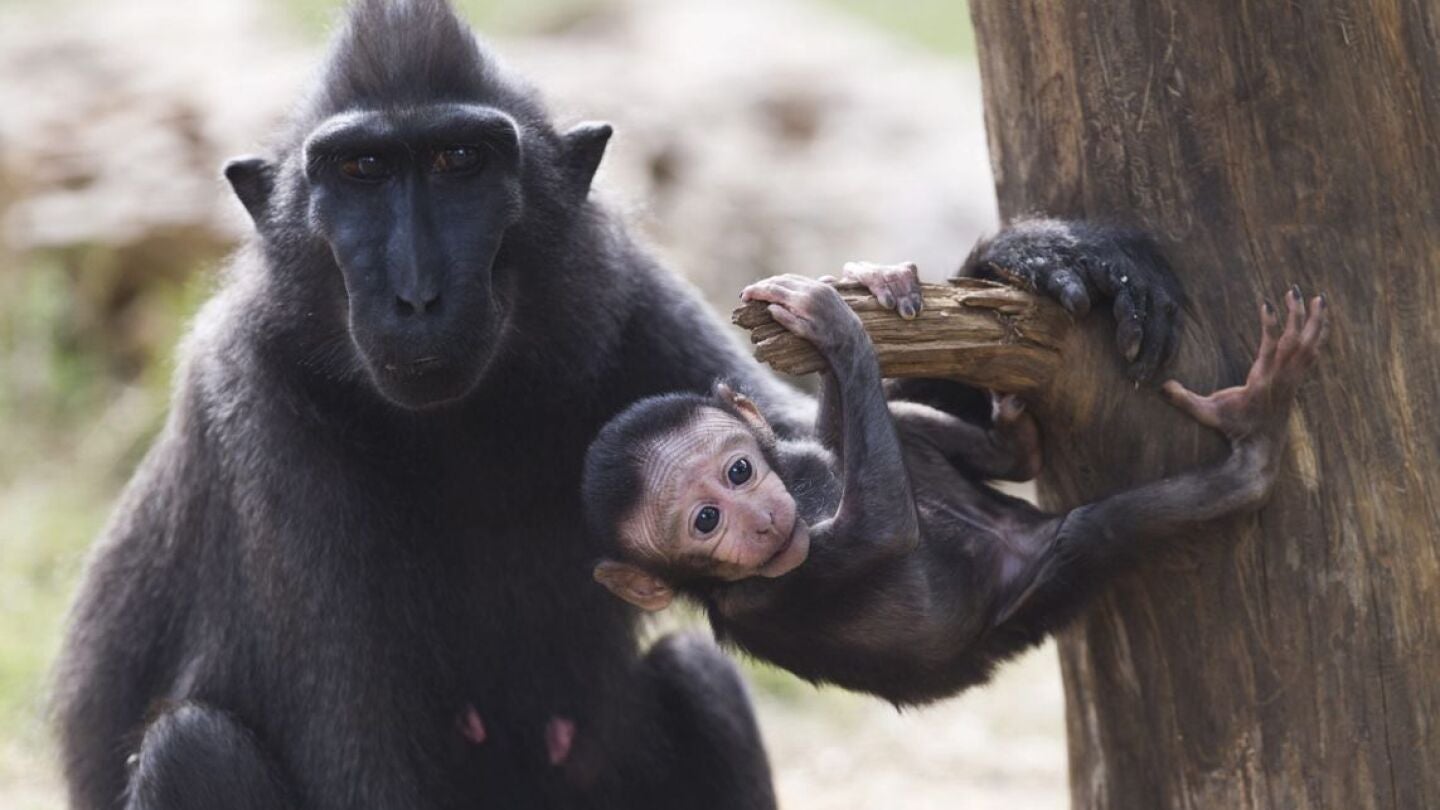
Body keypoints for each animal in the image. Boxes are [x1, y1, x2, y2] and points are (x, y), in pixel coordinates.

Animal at [51, 1, 1186, 807]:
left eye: (461, 162)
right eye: (361, 170)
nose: (417, 295)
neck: (460, 420)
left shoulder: (631, 306)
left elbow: (821, 476)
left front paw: (1029, 257)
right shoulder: (263, 416)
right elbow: (358, 773)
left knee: (695, 678)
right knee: (193, 748)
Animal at [583, 269, 1329, 705]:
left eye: (738, 470)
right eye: (706, 521)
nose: (760, 521)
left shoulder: (794, 456)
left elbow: (831, 440)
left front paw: (867, 293)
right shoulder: (773, 586)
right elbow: (884, 529)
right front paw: (839, 326)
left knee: (899, 435)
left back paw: (1012, 442)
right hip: (1042, 586)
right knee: (1109, 528)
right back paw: (1254, 439)